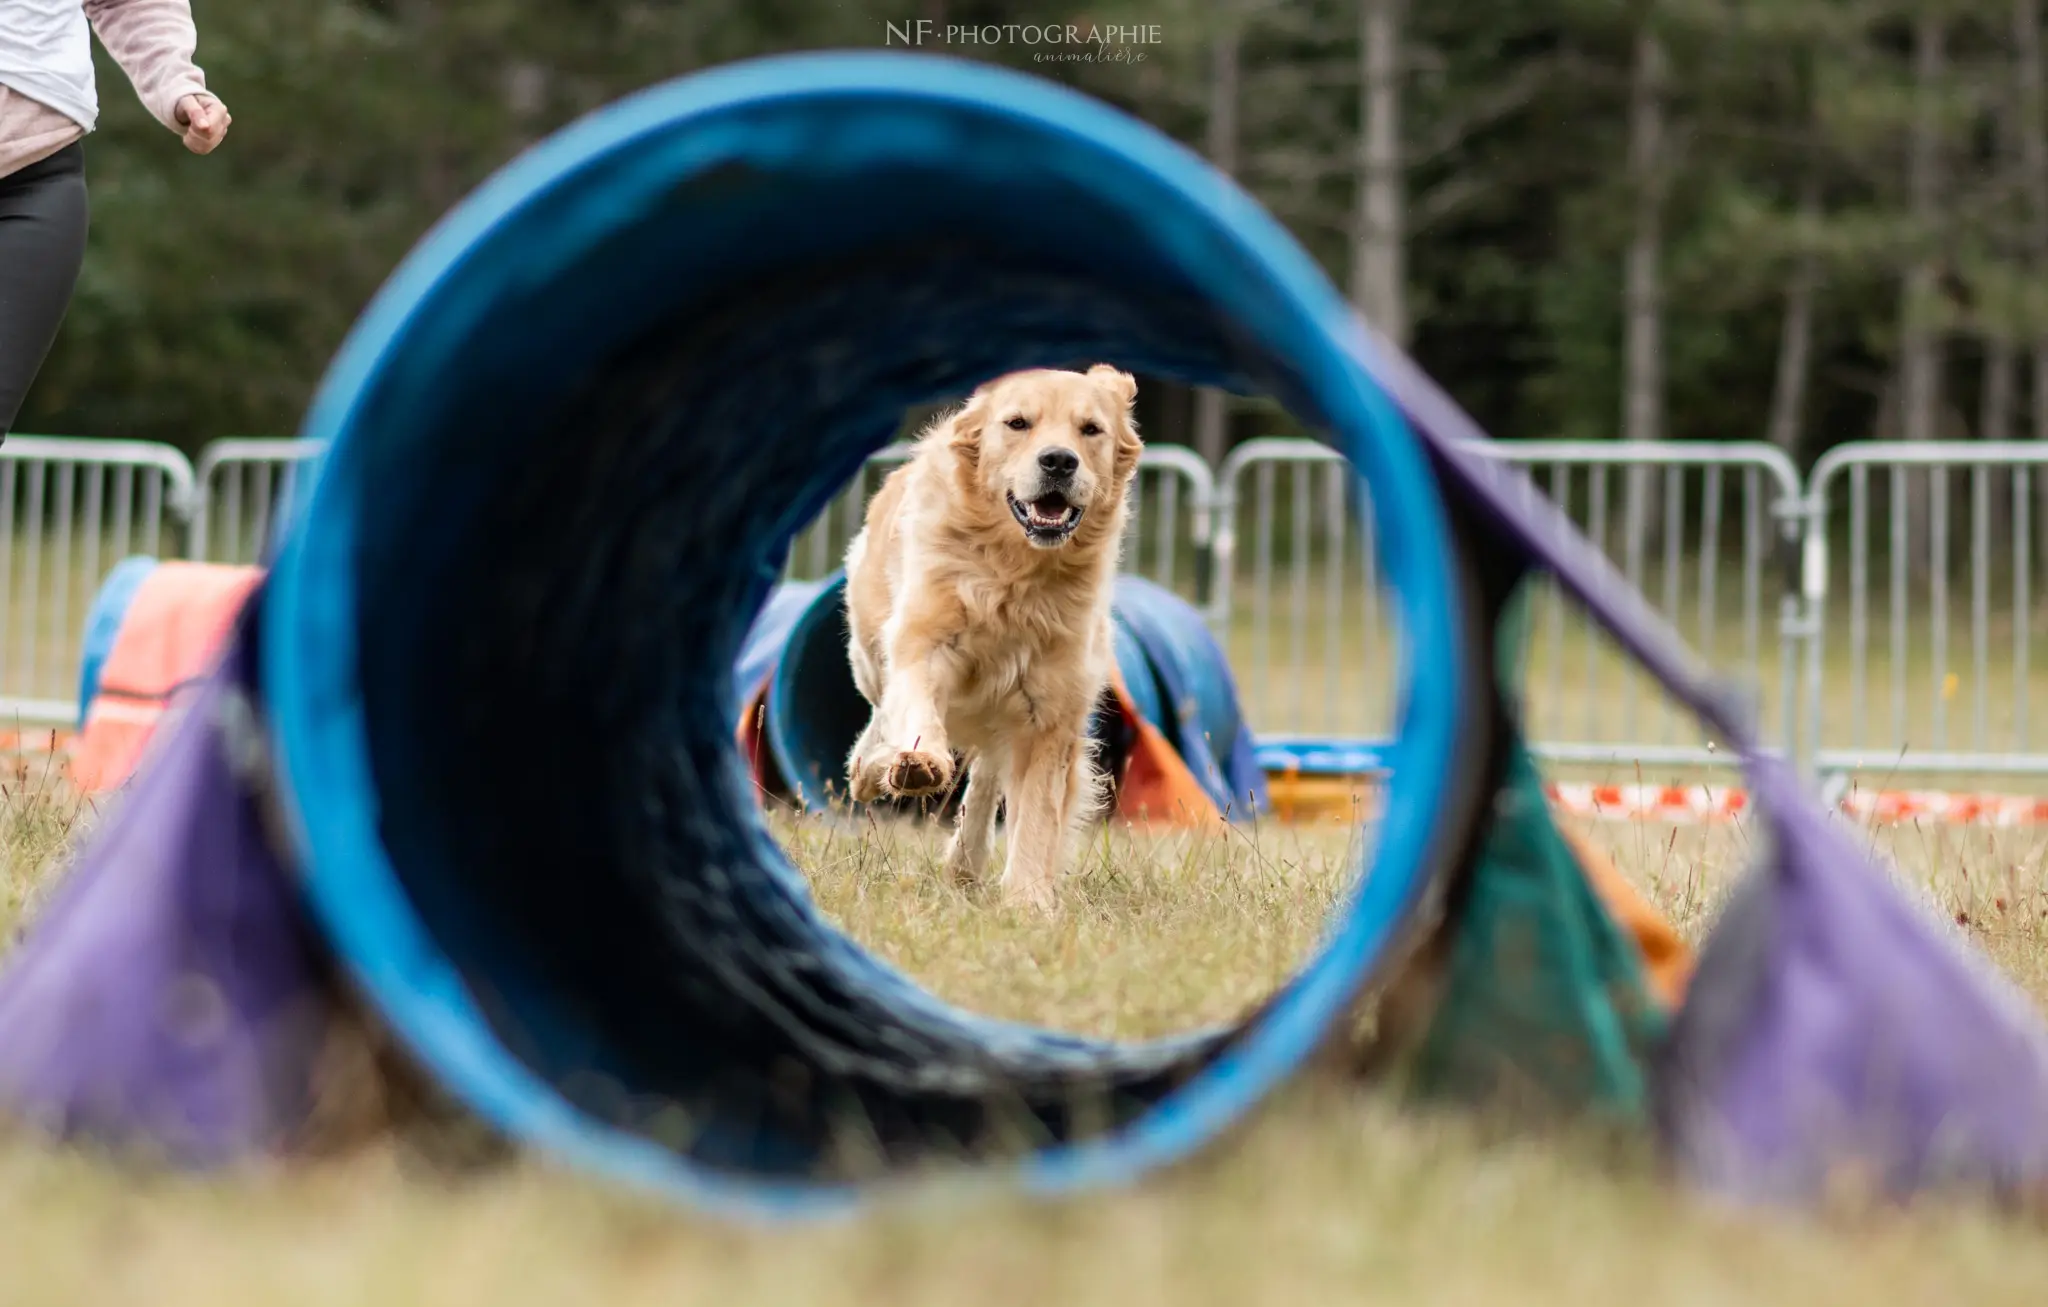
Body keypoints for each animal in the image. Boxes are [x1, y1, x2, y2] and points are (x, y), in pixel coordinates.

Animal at [839, 364, 1146, 917]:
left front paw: (1028, 900)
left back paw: (965, 862)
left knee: (984, 780)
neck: (1015, 574)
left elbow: (1037, 814)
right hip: (871, 656)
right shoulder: (923, 645)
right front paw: (916, 763)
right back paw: (874, 770)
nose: (1058, 460)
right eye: (1017, 423)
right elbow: (915, 712)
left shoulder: (1049, 712)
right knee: (878, 725)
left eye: (1090, 430)